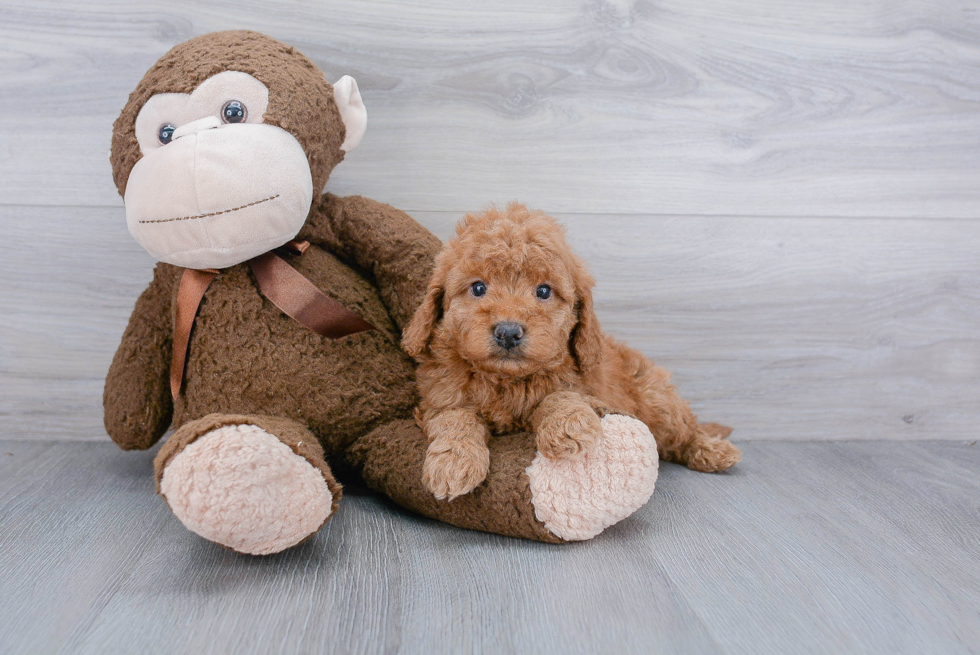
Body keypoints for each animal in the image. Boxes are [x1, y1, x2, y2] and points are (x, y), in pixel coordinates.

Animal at [402, 205, 740, 502]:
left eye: (543, 291)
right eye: (477, 288)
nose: (508, 332)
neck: (507, 380)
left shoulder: (586, 389)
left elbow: (559, 395)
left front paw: (567, 427)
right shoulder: (440, 398)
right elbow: (455, 418)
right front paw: (453, 463)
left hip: (658, 402)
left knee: (685, 432)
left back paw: (713, 450)